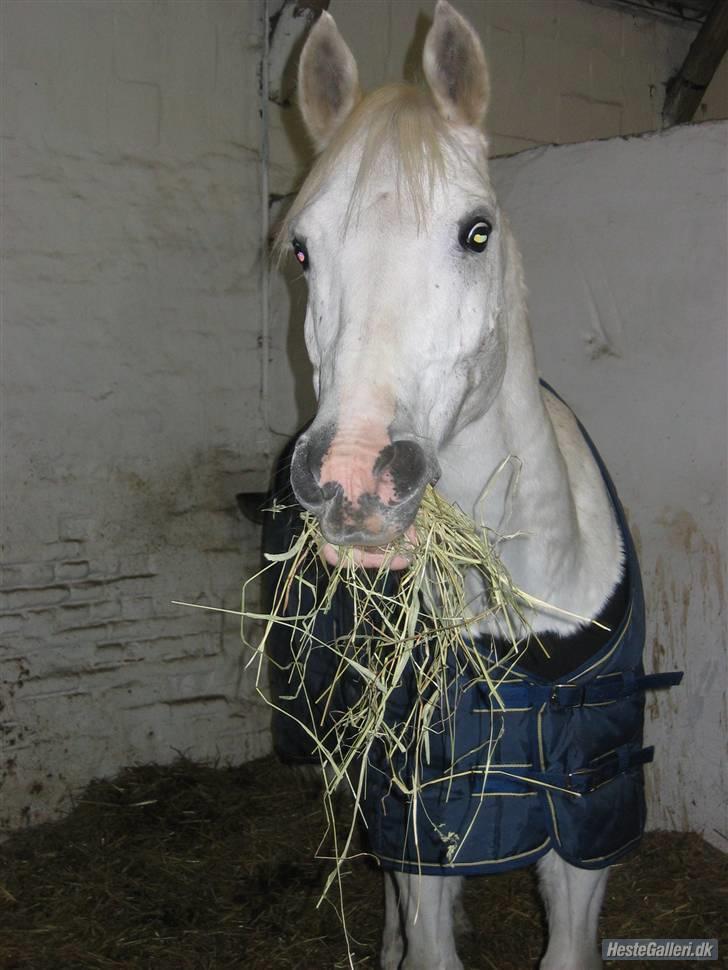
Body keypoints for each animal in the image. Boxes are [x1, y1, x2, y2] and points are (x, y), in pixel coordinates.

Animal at [282, 3, 640, 964]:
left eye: (476, 231)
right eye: (302, 250)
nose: (353, 480)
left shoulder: (587, 814)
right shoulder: (422, 826)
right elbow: (428, 941)